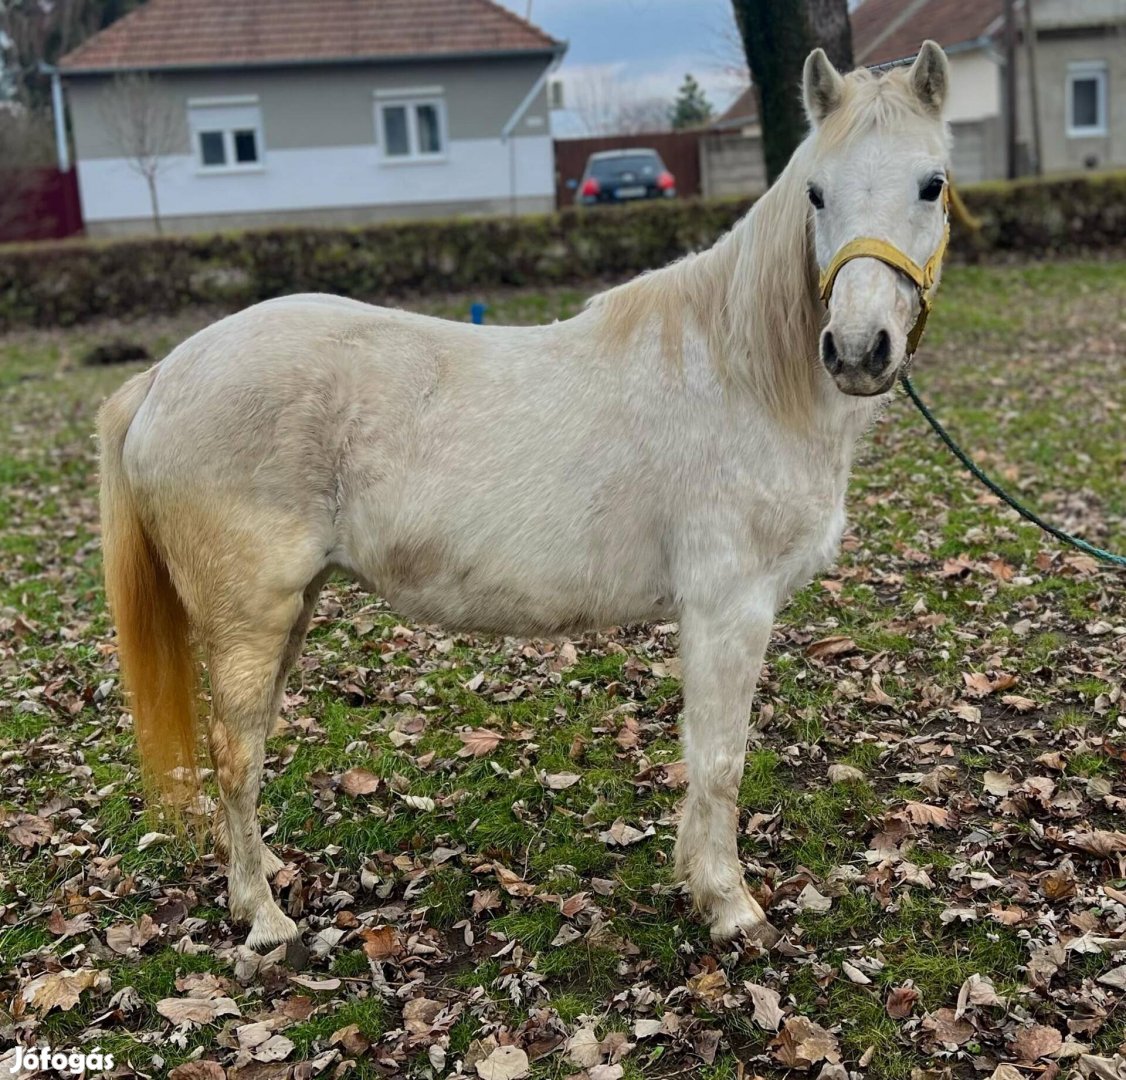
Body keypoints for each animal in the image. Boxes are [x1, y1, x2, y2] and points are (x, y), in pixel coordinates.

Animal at [101, 46, 954, 950]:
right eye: (816, 192)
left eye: (931, 183)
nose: (858, 351)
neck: (740, 373)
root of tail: (164, 376)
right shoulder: (730, 606)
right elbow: (720, 758)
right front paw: (730, 904)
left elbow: (701, 756)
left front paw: (697, 880)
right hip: (249, 616)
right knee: (235, 753)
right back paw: (262, 919)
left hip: (289, 610)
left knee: (252, 741)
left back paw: (260, 874)